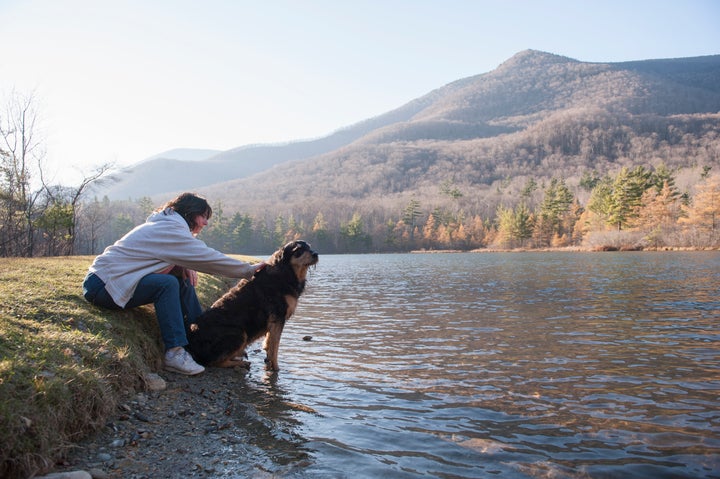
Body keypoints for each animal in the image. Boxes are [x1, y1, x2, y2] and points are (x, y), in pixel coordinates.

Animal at [186, 240, 318, 372]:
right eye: (299, 250)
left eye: (309, 247)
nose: (316, 254)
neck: (286, 271)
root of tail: (190, 342)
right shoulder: (278, 316)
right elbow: (275, 346)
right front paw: (275, 368)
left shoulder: (273, 321)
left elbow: (269, 342)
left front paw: (268, 361)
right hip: (239, 333)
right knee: (213, 362)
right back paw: (240, 363)